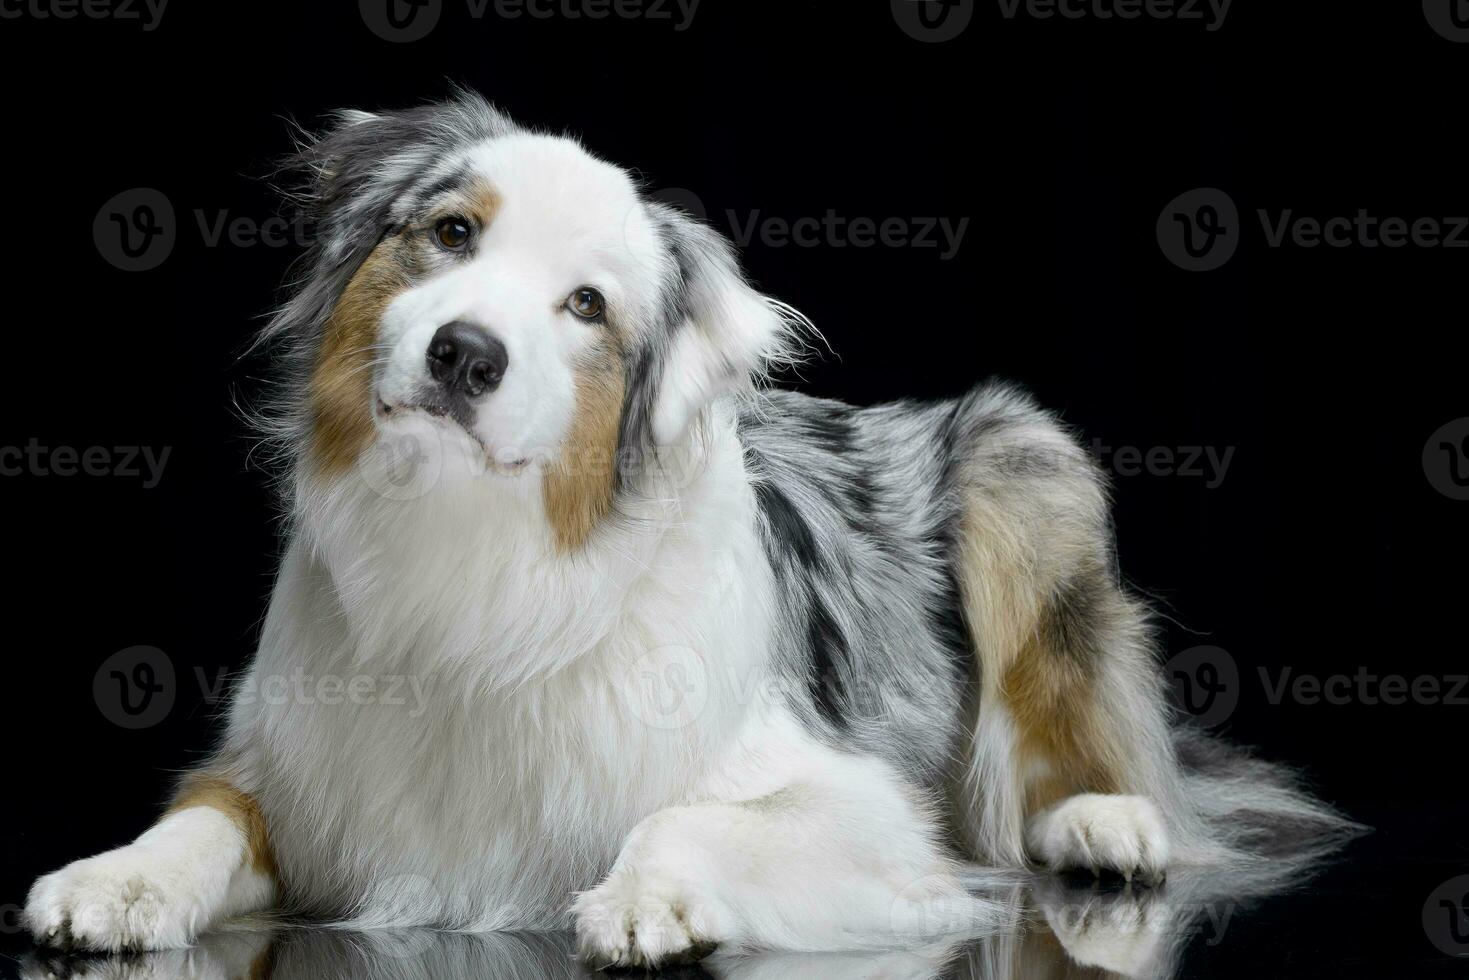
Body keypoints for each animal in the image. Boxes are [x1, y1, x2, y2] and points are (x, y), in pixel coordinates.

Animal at [20, 91, 1351, 963]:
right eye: (451, 233)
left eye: (585, 306)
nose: (465, 353)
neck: (472, 560)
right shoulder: (285, 765)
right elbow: (199, 816)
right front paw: (113, 879)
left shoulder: (867, 810)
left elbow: (687, 812)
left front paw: (645, 896)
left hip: (1022, 459)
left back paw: (1103, 817)